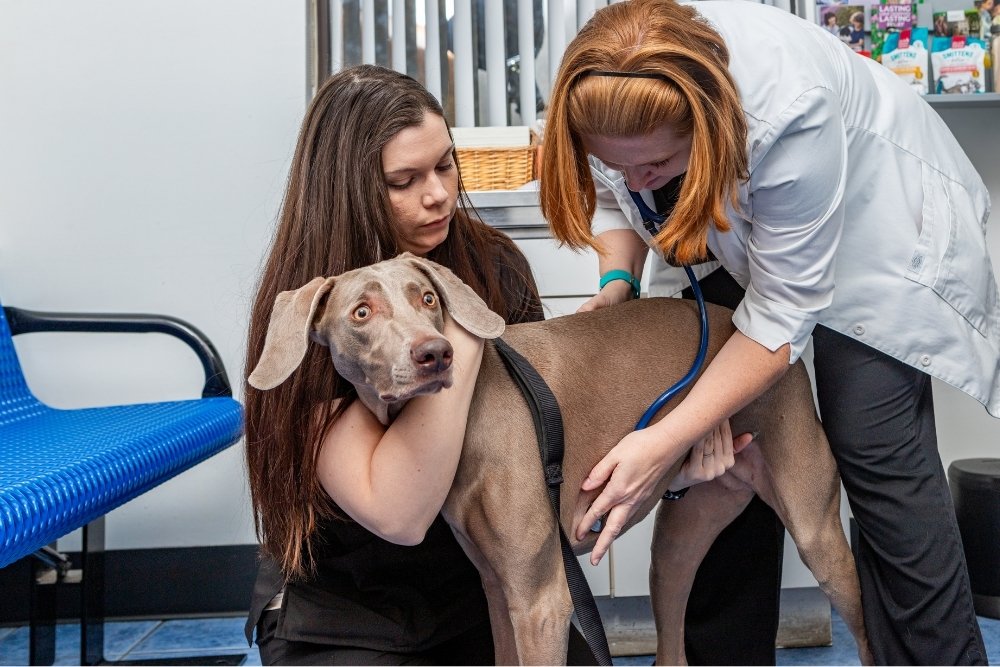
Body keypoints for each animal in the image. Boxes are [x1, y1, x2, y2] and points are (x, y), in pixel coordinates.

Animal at [246, 253, 872, 664]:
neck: (465, 416)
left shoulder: (541, 598)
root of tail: (765, 337)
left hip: (818, 532)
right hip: (678, 542)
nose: (435, 354)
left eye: (428, 300)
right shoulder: (499, 588)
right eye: (361, 313)